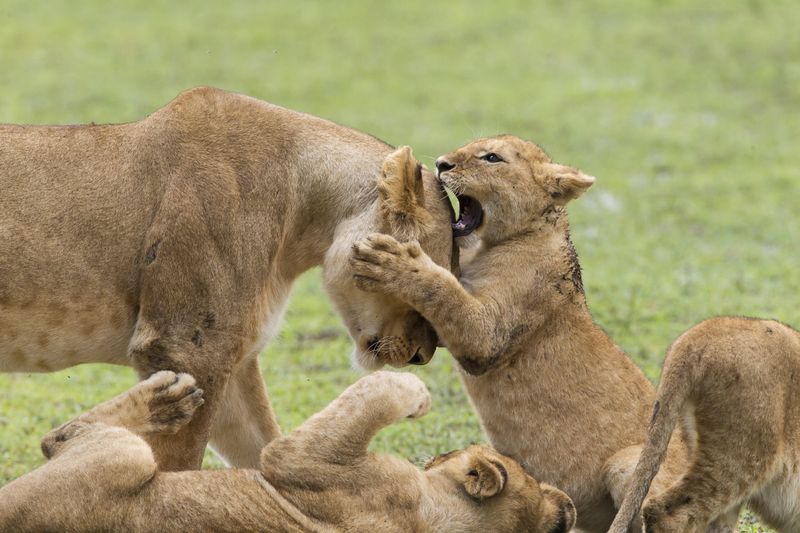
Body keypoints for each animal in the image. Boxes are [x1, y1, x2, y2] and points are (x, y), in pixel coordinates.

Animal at [0, 87, 455, 472]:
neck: (301, 215)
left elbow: (265, 452)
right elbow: (175, 474)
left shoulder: (232, 361)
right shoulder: (185, 347)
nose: (421, 357)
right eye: (419, 276)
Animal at [0, 370, 576, 533]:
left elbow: (383, 384)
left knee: (58, 437)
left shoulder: (297, 459)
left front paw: (418, 394)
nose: (435, 457)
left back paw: (166, 398)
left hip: (121, 457)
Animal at [348, 134, 703, 532]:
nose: (441, 164)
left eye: (492, 158)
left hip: (627, 463)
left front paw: (391, 262)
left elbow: (443, 290)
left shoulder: (487, 337)